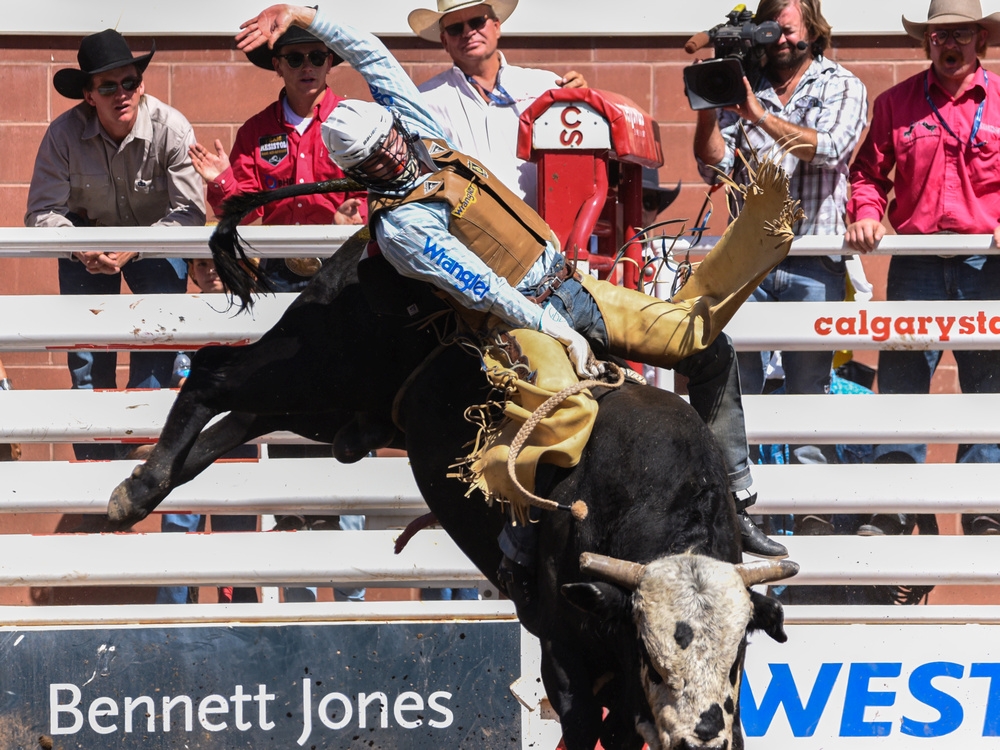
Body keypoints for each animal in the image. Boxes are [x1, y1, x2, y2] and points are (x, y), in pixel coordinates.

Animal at [107, 229, 796, 750]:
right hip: (315, 360)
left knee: (244, 414)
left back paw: (141, 487)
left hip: (334, 403)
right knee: (211, 372)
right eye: (654, 658)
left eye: (737, 655)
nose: (697, 737)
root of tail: (361, 248)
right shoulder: (563, 656)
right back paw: (136, 489)